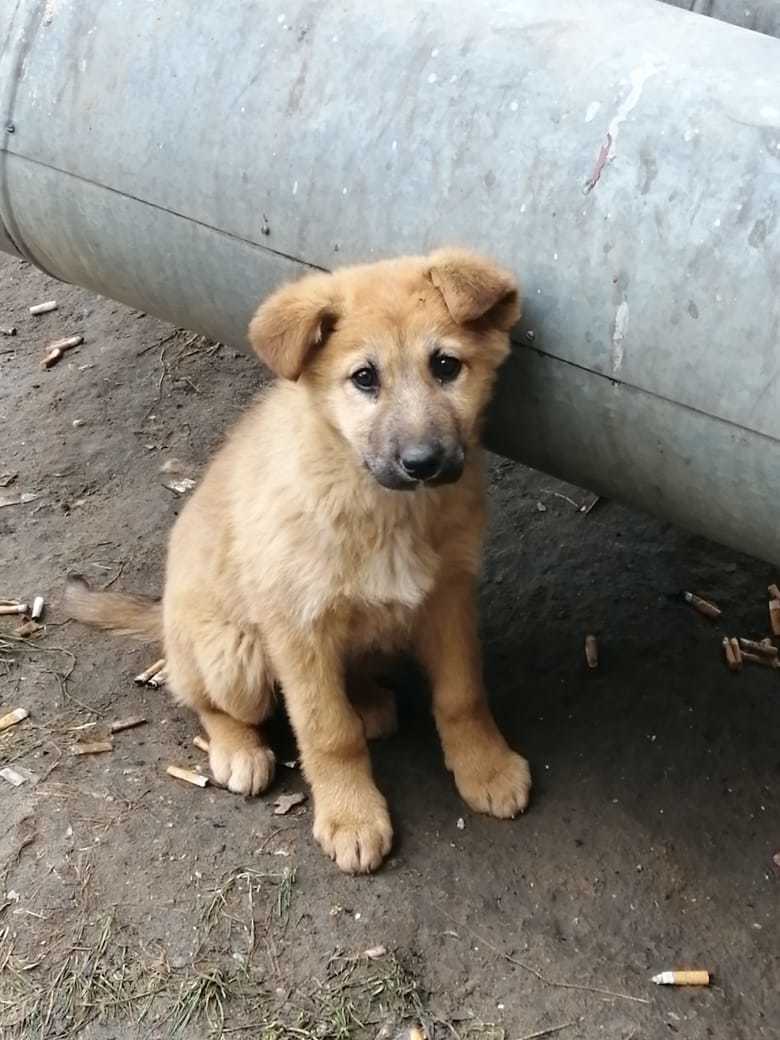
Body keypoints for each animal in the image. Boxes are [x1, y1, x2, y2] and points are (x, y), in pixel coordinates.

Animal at [65, 249, 532, 869]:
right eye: (364, 378)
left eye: (445, 365)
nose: (422, 462)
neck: (383, 507)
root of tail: (164, 618)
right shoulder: (297, 627)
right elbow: (327, 731)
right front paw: (351, 816)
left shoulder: (449, 596)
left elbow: (462, 695)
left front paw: (486, 768)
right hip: (234, 654)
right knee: (204, 699)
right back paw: (239, 750)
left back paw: (367, 700)